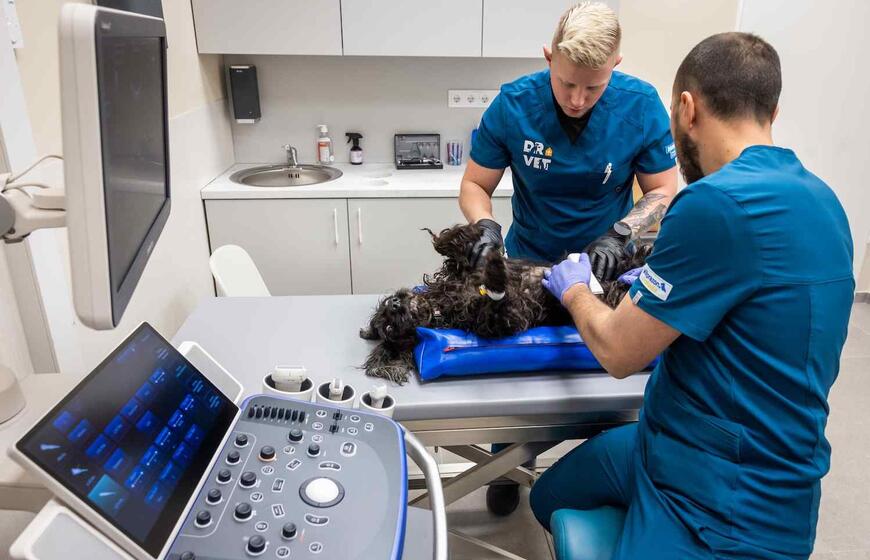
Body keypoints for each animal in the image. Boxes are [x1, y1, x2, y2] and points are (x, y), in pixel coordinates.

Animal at [360, 223, 651, 383]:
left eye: (388, 307)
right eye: (388, 328)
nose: (395, 304)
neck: (442, 305)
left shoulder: (457, 274)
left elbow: (449, 249)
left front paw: (478, 235)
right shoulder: (502, 321)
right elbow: (497, 305)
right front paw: (497, 276)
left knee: (632, 261)